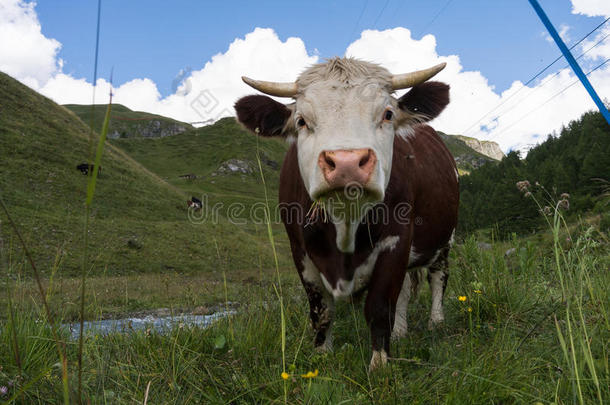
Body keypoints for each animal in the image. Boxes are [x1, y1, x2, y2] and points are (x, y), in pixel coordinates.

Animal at [233, 56, 456, 370]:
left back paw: (436, 320)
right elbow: (321, 312)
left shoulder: (397, 241)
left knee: (438, 275)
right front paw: (321, 357)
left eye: (387, 114)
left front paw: (380, 365)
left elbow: (379, 306)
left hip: (446, 238)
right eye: (301, 121)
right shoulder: (300, 251)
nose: (347, 163)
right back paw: (401, 332)